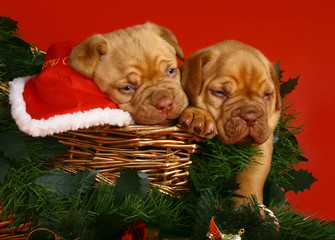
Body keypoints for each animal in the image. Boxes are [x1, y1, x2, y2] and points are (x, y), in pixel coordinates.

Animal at [180, 39, 282, 208]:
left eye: (267, 95)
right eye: (220, 93)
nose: (251, 117)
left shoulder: (262, 148)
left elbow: (251, 178)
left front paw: (249, 208)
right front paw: (199, 115)